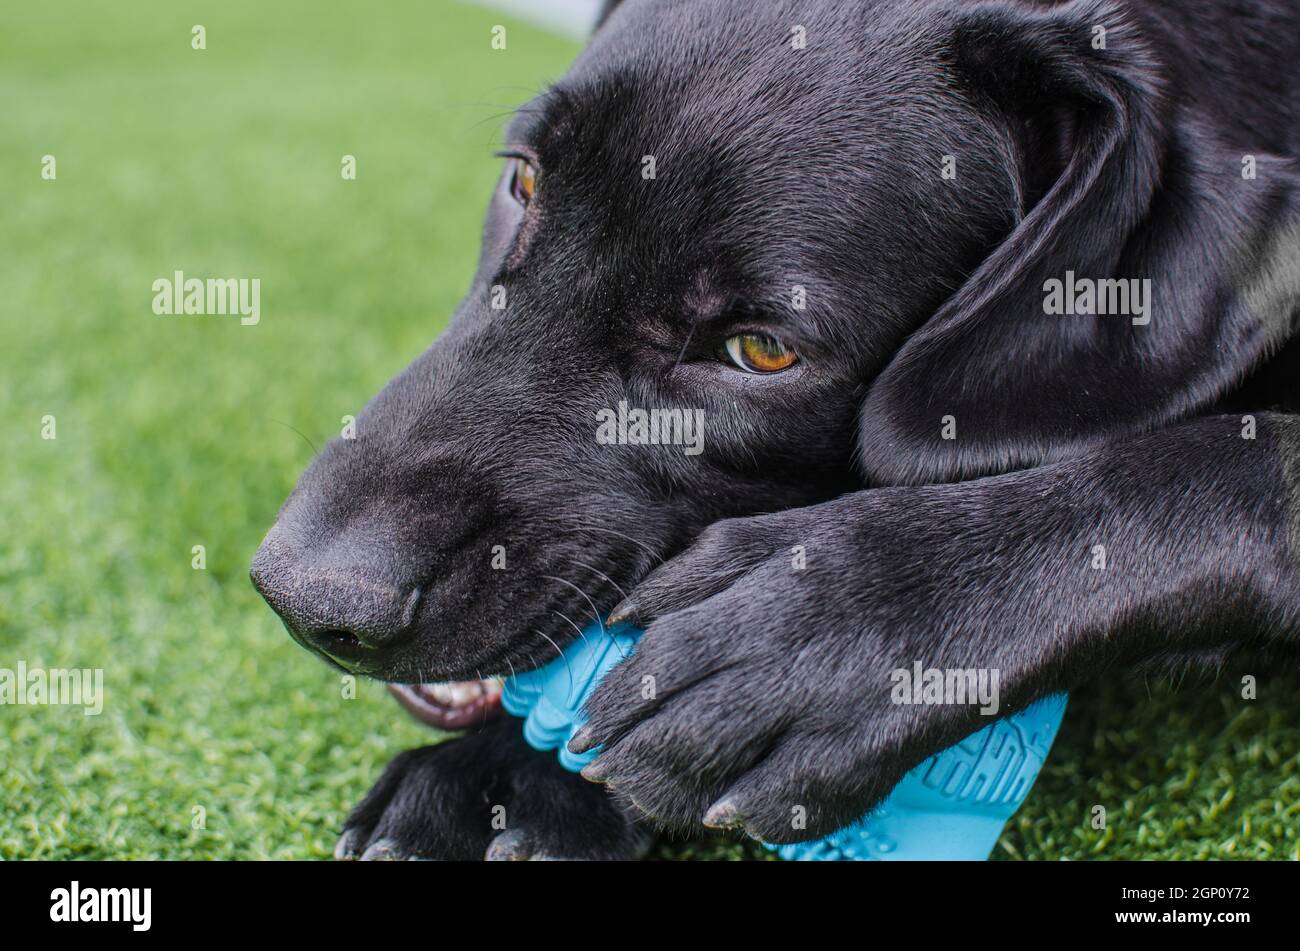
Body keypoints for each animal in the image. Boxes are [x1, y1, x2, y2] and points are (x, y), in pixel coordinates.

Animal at [250, 0, 1300, 862]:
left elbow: (1218, 469)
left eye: (759, 350)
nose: (307, 597)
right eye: (526, 180)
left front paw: (803, 636)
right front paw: (500, 778)